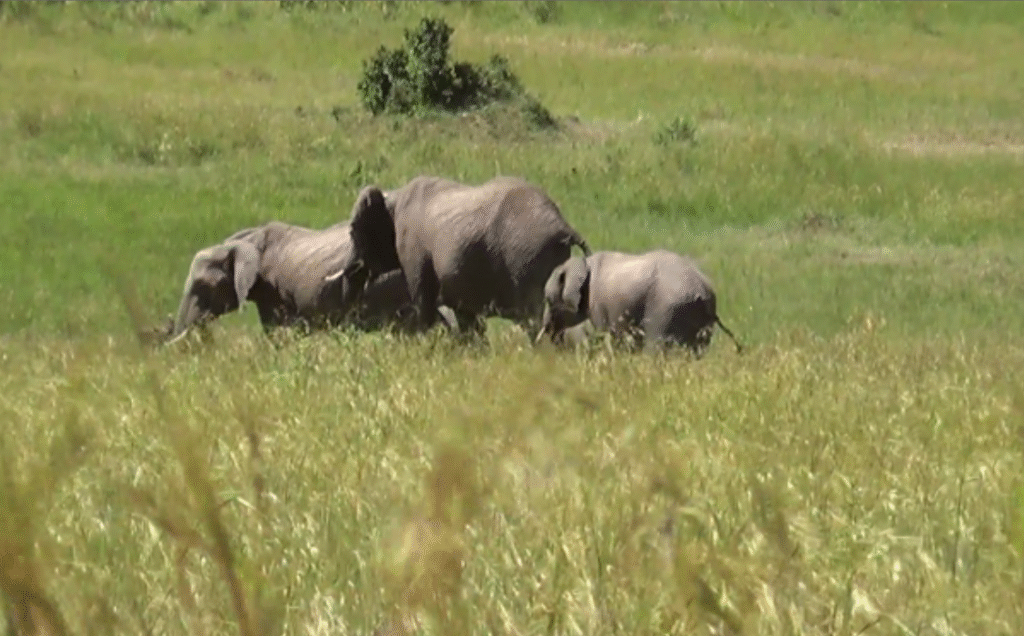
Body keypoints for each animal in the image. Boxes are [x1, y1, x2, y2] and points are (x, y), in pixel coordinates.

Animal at [327, 175, 591, 339]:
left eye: (353, 230)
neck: (393, 195)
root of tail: (563, 226)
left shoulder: (413, 249)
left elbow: (423, 301)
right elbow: (465, 315)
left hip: (528, 259)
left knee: (533, 318)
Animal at [536, 249, 743, 357]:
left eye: (548, 300)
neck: (583, 262)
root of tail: (703, 290)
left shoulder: (597, 302)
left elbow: (607, 333)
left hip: (667, 310)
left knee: (657, 347)